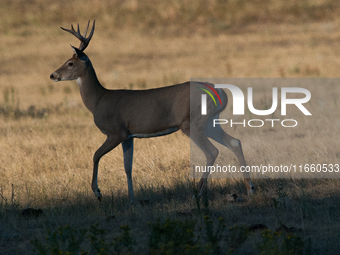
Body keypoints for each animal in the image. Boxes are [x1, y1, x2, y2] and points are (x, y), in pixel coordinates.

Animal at [49, 19, 254, 202]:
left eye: (70, 63)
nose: (52, 75)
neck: (98, 100)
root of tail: (219, 92)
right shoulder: (129, 136)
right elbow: (127, 166)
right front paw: (132, 199)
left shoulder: (116, 132)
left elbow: (95, 155)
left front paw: (98, 192)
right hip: (210, 121)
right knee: (234, 142)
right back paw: (249, 188)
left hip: (192, 122)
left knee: (212, 151)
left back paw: (198, 193)